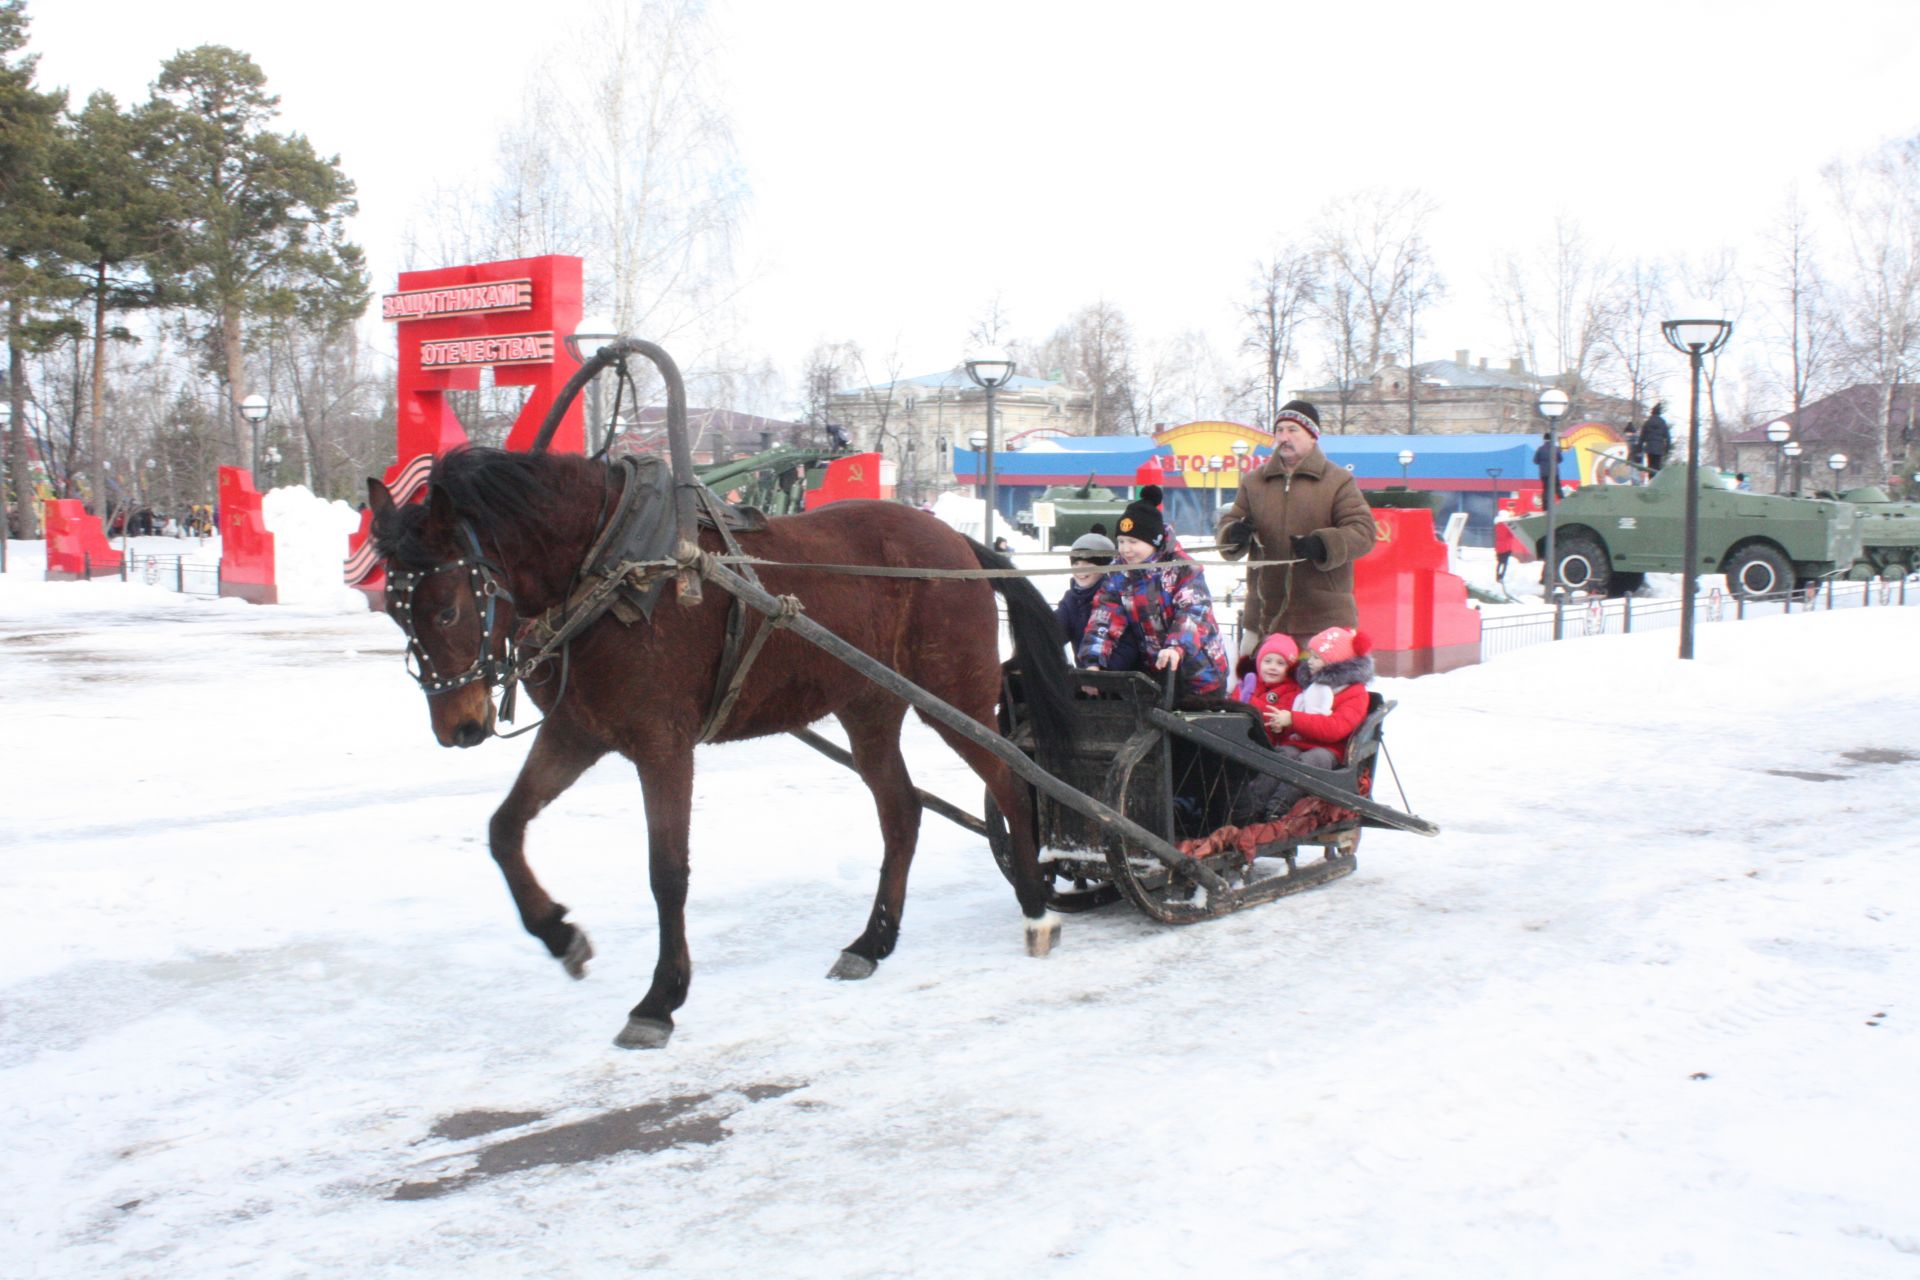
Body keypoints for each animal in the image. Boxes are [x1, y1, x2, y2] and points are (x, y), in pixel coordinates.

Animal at [366, 450, 1075, 1051]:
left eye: (447, 608)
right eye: (395, 610)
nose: (459, 726)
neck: (611, 566)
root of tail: (956, 543)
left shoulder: (663, 746)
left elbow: (667, 872)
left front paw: (660, 999)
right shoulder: (576, 733)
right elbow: (504, 828)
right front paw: (559, 933)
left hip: (952, 696)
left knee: (1011, 785)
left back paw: (1036, 908)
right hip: (868, 709)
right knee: (902, 812)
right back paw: (872, 942)